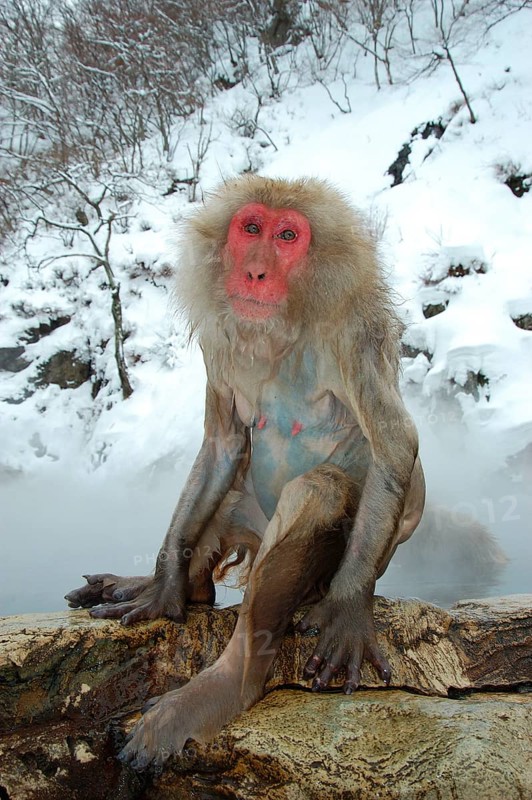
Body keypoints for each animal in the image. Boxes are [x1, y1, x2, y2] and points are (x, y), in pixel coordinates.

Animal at [66, 175, 427, 769]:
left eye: (288, 237)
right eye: (252, 228)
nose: (256, 271)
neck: (282, 330)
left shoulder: (356, 333)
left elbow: (395, 446)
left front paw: (350, 608)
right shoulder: (220, 338)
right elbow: (223, 444)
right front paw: (163, 585)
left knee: (319, 492)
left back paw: (230, 682)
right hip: (246, 520)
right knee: (227, 499)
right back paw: (173, 589)